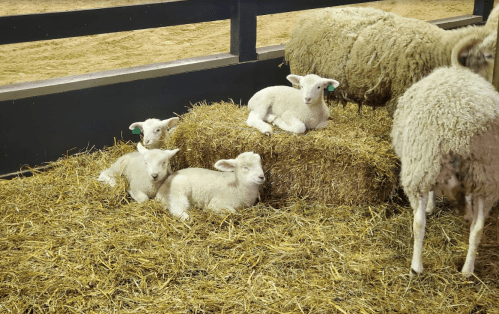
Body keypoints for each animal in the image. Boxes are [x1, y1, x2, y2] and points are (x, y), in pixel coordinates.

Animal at [390, 65, 499, 274]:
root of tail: (461, 133)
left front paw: (431, 207)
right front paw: (468, 213)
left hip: (421, 166)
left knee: (418, 223)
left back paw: (416, 267)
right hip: (485, 177)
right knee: (478, 228)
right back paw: (467, 269)